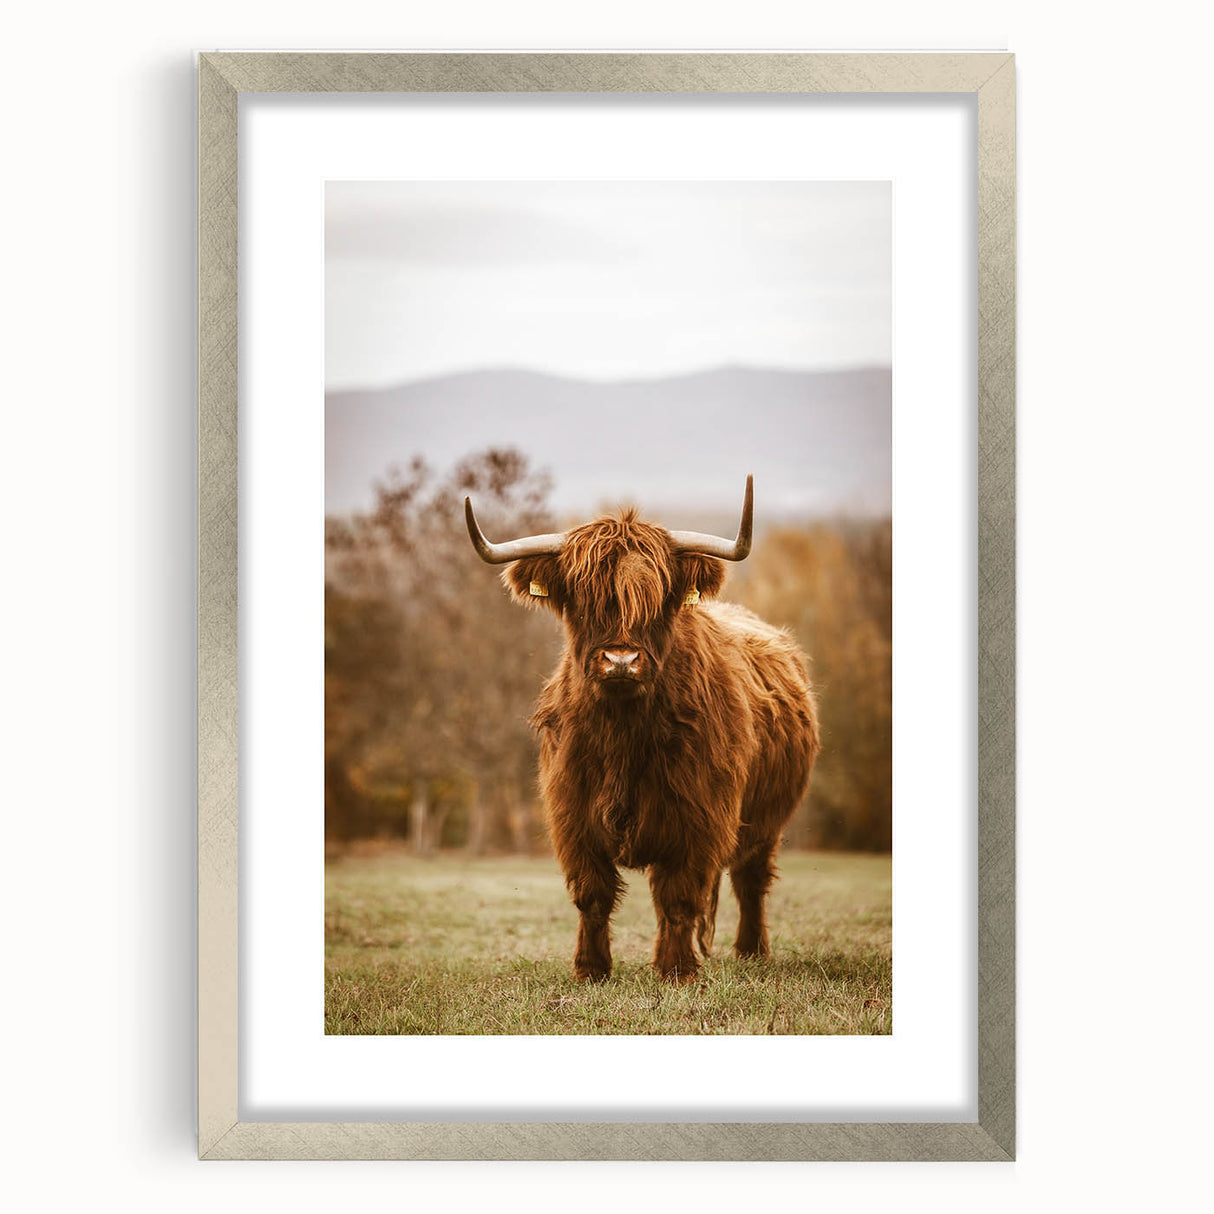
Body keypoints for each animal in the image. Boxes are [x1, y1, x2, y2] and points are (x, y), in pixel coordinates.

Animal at [465, 477, 819, 984]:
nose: (621, 660)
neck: (623, 733)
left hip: (766, 820)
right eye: (582, 599)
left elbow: (680, 895)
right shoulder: (573, 814)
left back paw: (752, 952)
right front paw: (591, 970)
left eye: (659, 599)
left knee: (750, 879)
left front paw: (677, 971)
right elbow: (592, 895)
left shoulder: (699, 817)